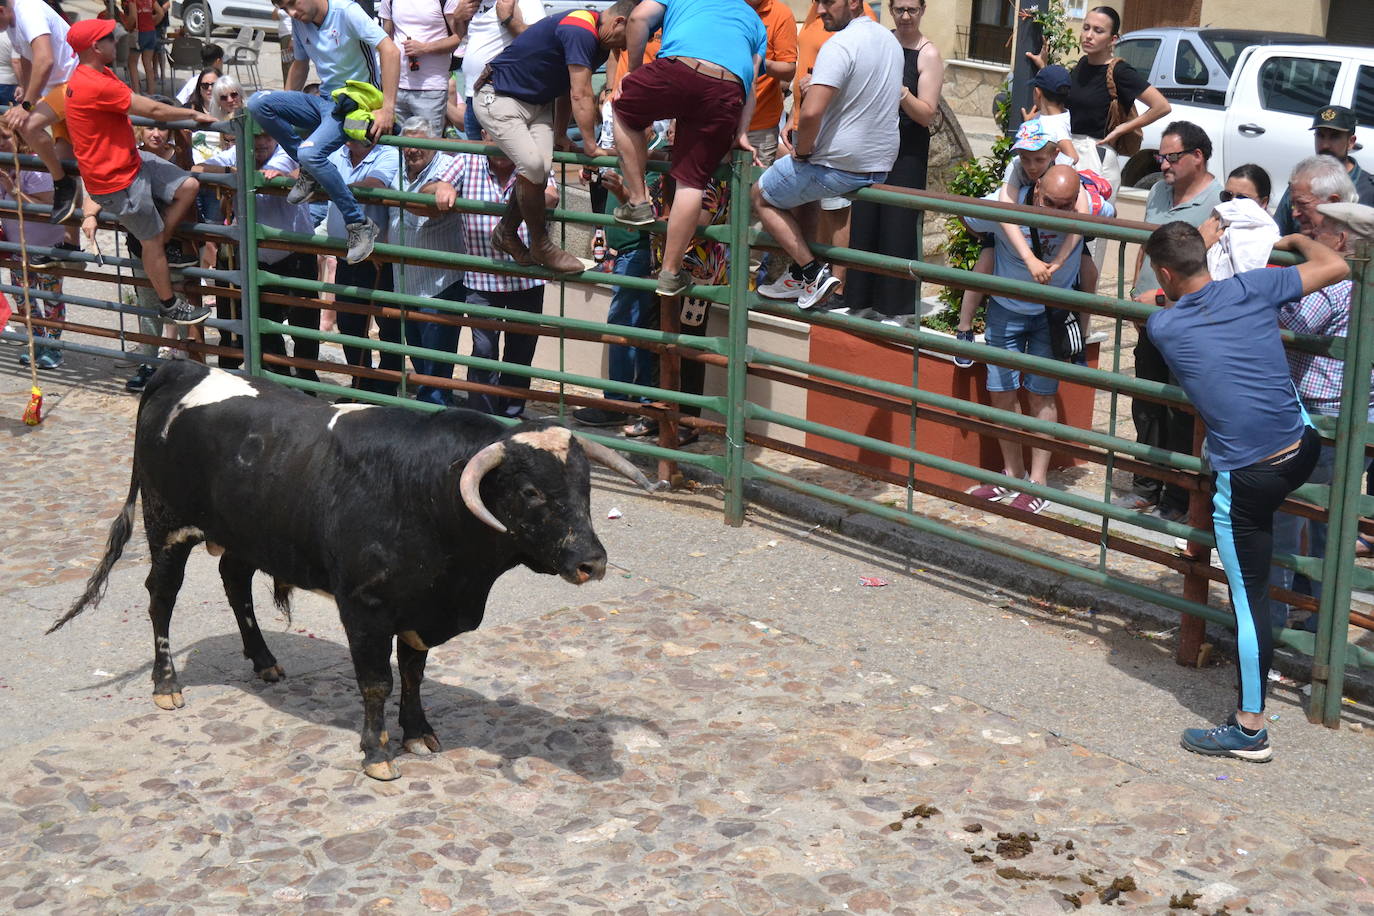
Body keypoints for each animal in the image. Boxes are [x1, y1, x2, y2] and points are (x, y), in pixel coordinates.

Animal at [48, 362, 659, 780]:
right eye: (531, 491)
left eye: (584, 486)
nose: (593, 562)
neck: (429, 492)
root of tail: (181, 368)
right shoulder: (366, 609)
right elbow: (375, 680)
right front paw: (377, 752)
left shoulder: (419, 609)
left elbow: (412, 674)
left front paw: (418, 733)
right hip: (167, 528)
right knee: (162, 597)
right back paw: (167, 684)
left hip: (250, 533)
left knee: (235, 582)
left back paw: (265, 661)